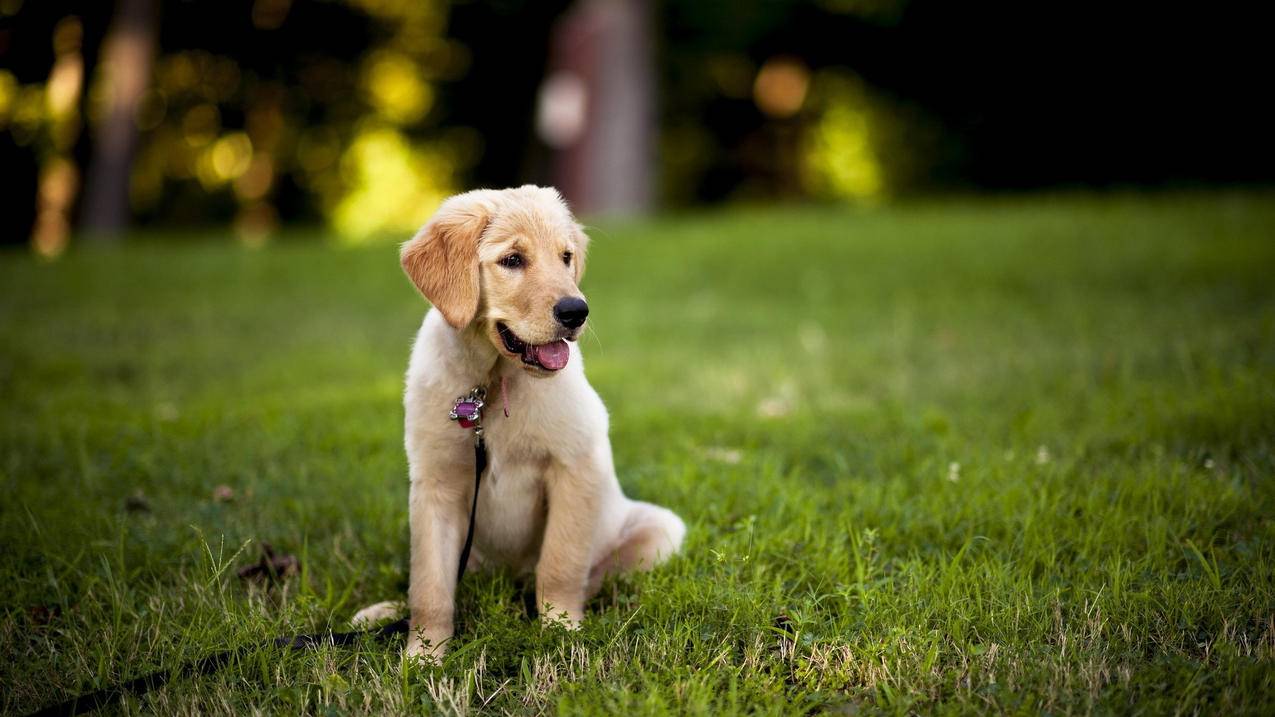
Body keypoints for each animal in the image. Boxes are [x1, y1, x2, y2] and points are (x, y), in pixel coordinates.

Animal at [349, 183, 688, 658]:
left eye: (565, 257)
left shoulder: (575, 464)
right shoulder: (435, 485)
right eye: (512, 260)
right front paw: (424, 655)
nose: (576, 311)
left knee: (591, 575)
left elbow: (560, 563)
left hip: (660, 530)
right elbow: (430, 584)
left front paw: (562, 630)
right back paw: (382, 613)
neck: (491, 385)